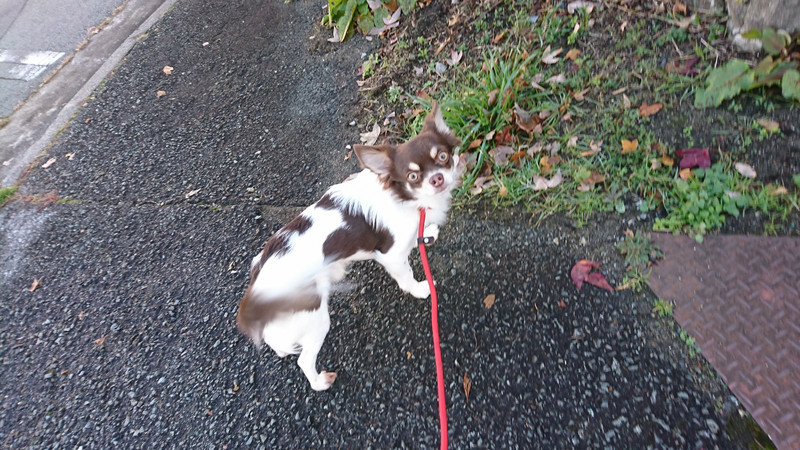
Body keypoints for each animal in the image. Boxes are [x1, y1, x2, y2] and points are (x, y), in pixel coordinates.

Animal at [236, 103, 462, 391]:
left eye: (443, 156)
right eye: (412, 176)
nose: (437, 179)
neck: (405, 198)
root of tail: (255, 294)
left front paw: (428, 233)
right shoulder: (391, 255)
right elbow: (407, 276)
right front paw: (421, 289)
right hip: (315, 319)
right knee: (304, 361)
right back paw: (320, 381)